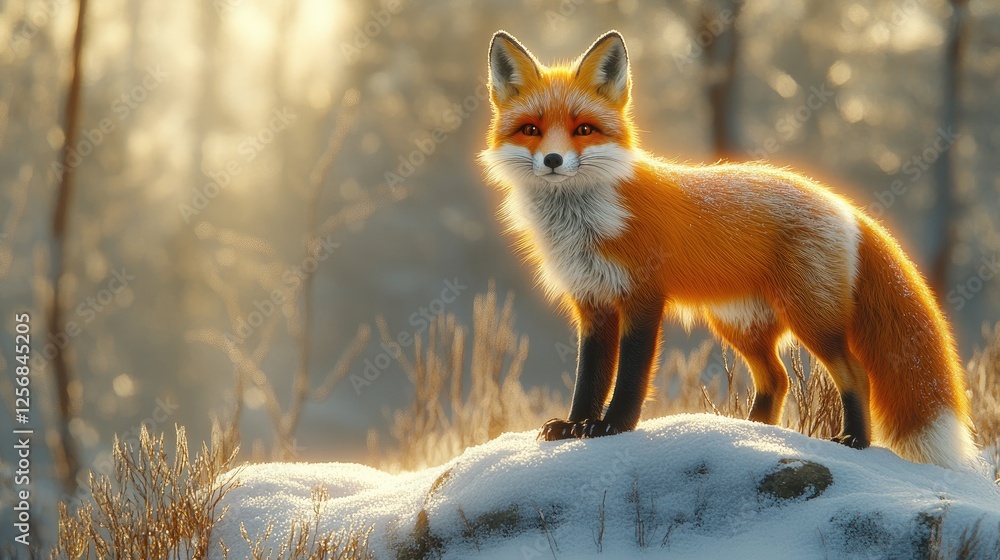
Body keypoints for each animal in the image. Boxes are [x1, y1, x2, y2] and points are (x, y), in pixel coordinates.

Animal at [478, 30, 978, 470]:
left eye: (583, 129)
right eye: (531, 129)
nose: (553, 161)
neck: (583, 221)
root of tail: (843, 205)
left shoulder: (642, 295)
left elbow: (631, 375)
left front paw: (613, 427)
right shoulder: (592, 301)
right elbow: (590, 378)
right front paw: (575, 426)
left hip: (810, 318)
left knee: (854, 373)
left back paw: (853, 439)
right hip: (740, 324)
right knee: (776, 379)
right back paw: (752, 433)